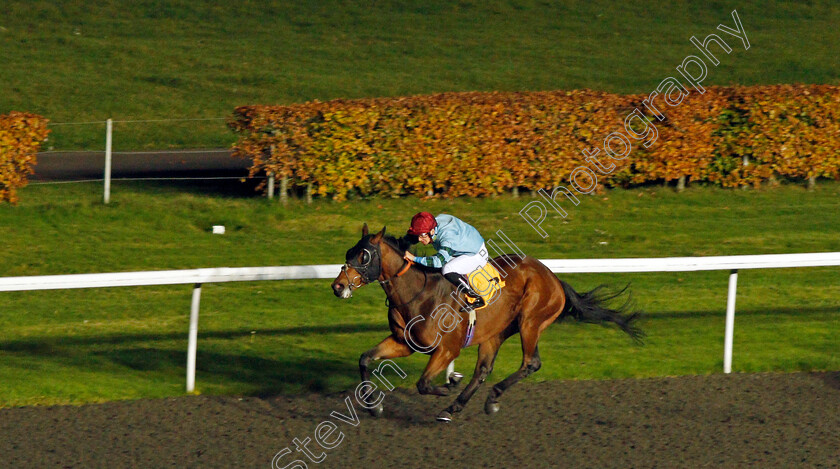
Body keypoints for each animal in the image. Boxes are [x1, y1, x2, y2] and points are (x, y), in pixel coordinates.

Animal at [330, 223, 644, 420]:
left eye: (364, 256)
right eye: (348, 253)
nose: (337, 286)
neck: (416, 292)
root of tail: (554, 278)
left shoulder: (447, 349)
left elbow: (423, 383)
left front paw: (448, 384)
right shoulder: (404, 342)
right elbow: (365, 359)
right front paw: (373, 407)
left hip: (531, 322)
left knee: (530, 363)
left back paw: (488, 399)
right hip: (496, 333)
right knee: (483, 369)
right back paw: (455, 408)